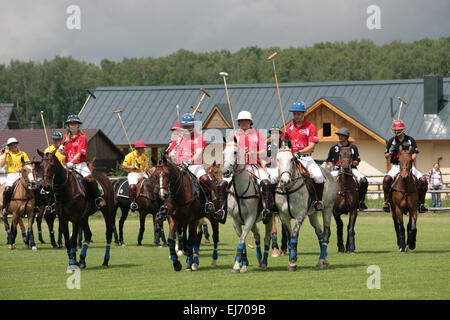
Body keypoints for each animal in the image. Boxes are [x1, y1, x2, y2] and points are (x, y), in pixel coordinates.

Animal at [222, 142, 272, 272]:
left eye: (235, 152)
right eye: (223, 152)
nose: (225, 171)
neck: (240, 192)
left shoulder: (250, 217)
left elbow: (242, 239)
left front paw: (236, 266)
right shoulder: (235, 220)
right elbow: (242, 240)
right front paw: (242, 264)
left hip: (269, 217)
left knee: (267, 238)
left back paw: (264, 263)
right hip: (254, 222)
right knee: (257, 235)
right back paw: (259, 260)